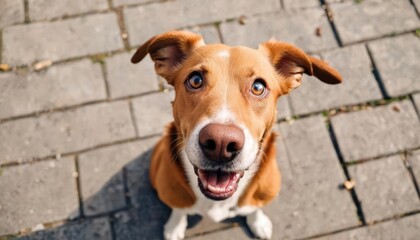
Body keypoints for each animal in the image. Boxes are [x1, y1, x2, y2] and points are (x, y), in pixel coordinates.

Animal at [131, 30, 342, 238]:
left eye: (258, 87)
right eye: (195, 80)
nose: (220, 143)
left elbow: (254, 208)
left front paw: (258, 222)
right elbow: (179, 209)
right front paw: (175, 227)